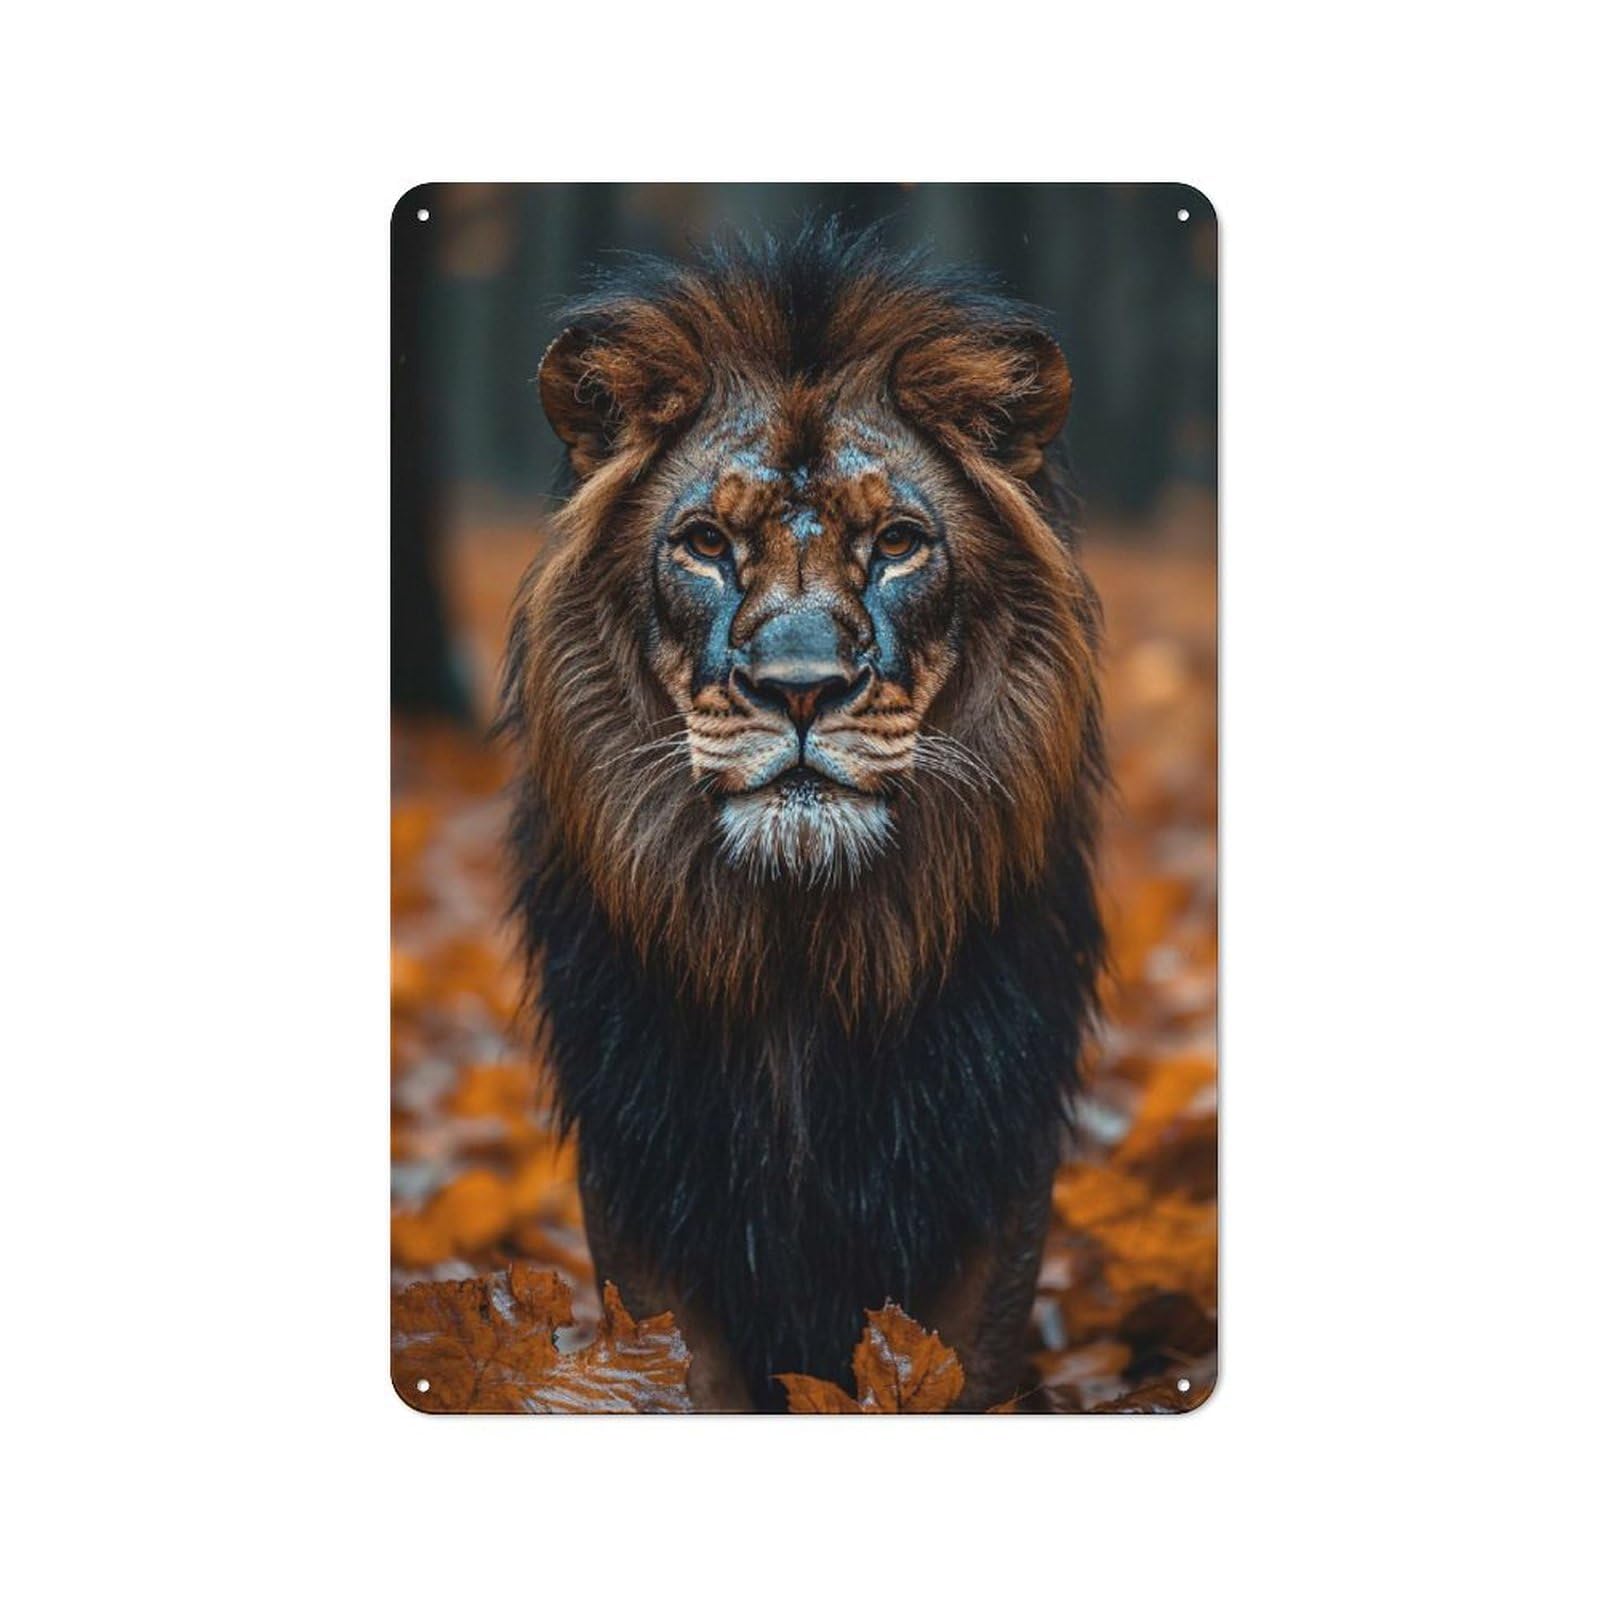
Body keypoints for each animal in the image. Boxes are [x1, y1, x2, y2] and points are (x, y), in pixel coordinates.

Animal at [499, 221, 1106, 1411]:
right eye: (703, 542)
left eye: (899, 542)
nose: (800, 688)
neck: (800, 953)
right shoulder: (641, 1173)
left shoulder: (994, 1157)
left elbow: (959, 1370)